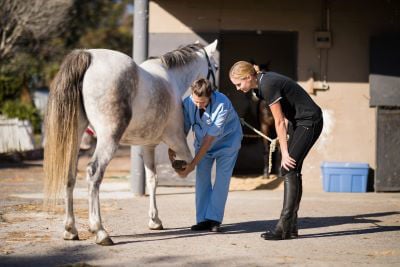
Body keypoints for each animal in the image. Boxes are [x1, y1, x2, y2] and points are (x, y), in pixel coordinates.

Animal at [44, 40, 219, 247]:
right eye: (215, 66)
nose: (215, 92)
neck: (171, 79)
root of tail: (88, 56)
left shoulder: (148, 146)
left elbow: (152, 180)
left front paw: (155, 220)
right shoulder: (177, 141)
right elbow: (194, 168)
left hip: (75, 137)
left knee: (69, 175)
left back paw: (70, 229)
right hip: (108, 139)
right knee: (94, 174)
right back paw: (100, 231)